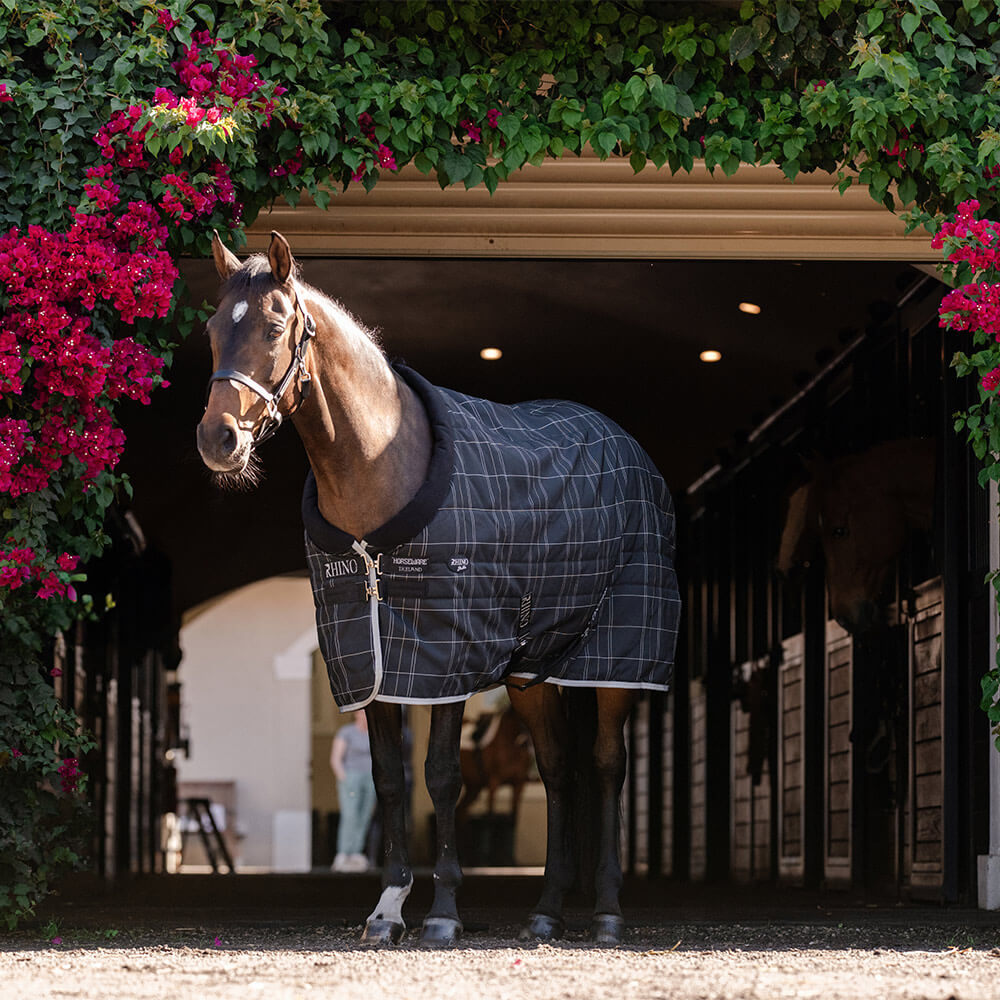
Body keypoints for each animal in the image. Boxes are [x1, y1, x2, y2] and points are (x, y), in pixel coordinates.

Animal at [196, 231, 681, 947]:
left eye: (274, 326)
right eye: (210, 331)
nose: (218, 438)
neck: (383, 471)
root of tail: (627, 447)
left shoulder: (447, 656)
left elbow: (442, 777)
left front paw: (444, 911)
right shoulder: (370, 661)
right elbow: (391, 780)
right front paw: (388, 908)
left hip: (616, 659)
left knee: (605, 765)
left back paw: (608, 913)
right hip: (533, 674)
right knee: (557, 770)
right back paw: (544, 911)